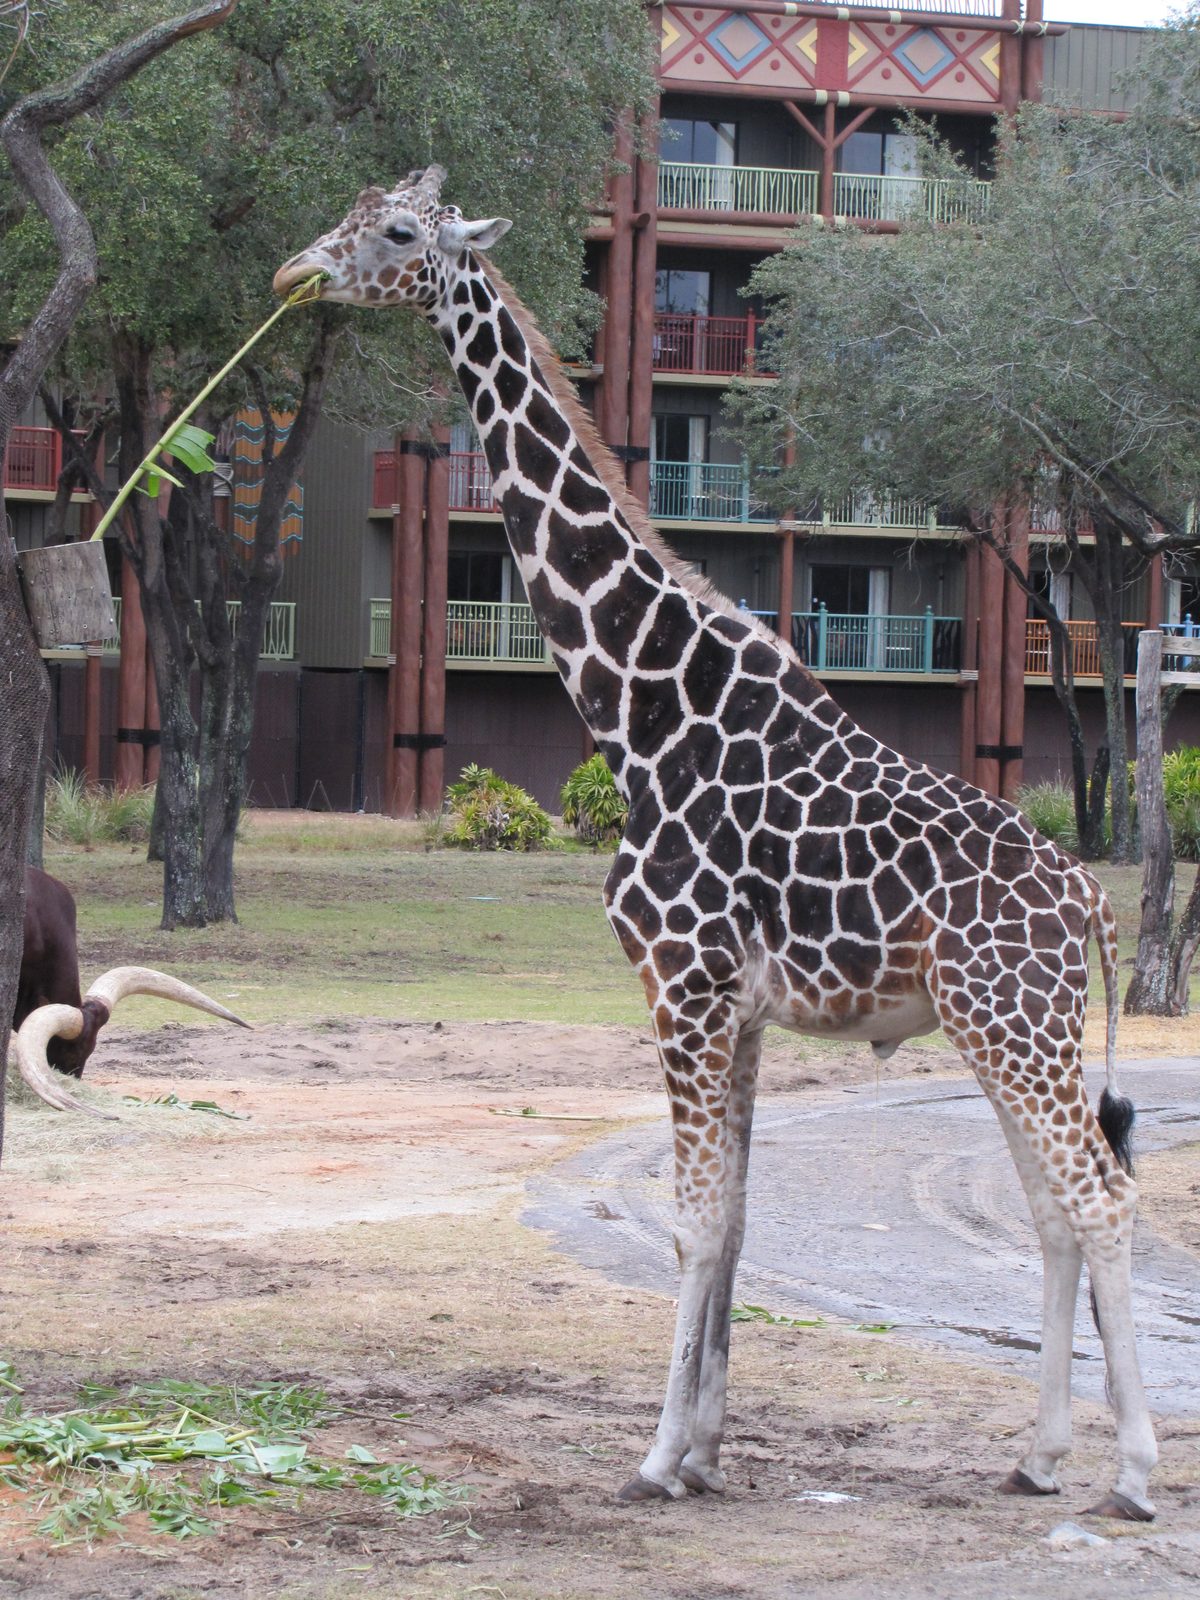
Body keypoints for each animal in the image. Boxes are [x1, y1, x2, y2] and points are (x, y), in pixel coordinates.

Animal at [274, 167, 1157, 1520]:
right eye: (355, 209)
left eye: (402, 232)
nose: (297, 273)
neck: (639, 708)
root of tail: (1096, 910)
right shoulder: (733, 1007)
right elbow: (733, 1219)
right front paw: (703, 1450)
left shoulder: (679, 984)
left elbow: (693, 1221)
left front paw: (653, 1459)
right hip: (1012, 1033)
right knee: (1057, 1207)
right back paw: (1041, 1453)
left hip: (1016, 1026)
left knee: (1102, 1198)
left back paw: (1135, 1474)